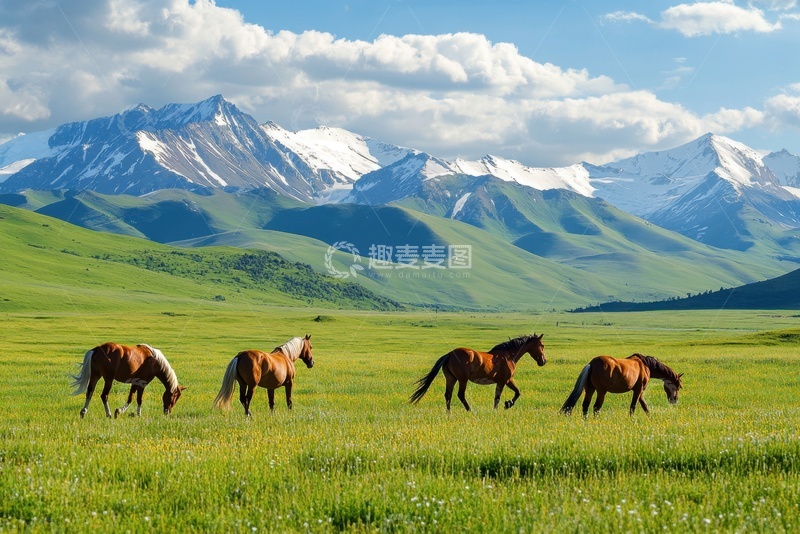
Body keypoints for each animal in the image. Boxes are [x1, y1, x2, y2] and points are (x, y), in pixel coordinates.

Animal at [409, 334, 546, 411]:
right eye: (542, 345)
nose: (543, 361)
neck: (508, 356)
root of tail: (449, 354)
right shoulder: (505, 380)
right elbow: (502, 397)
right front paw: (505, 405)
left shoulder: (505, 381)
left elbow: (514, 393)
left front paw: (506, 405)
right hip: (462, 380)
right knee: (460, 395)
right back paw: (470, 410)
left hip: (451, 379)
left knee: (448, 395)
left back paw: (449, 413)